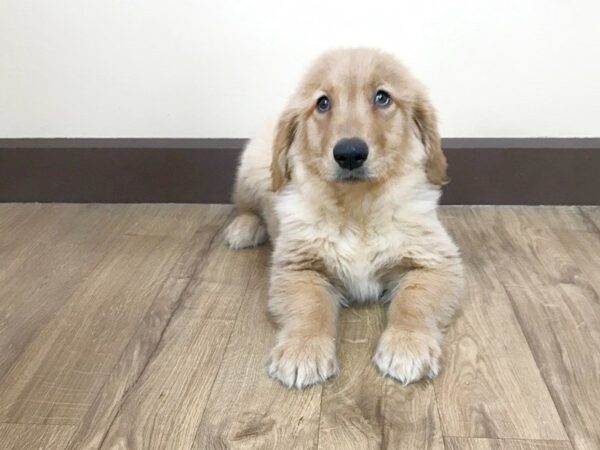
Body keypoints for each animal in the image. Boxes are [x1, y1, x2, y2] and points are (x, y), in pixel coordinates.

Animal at [225, 48, 464, 386]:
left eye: (382, 97)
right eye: (322, 103)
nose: (350, 153)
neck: (357, 207)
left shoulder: (436, 262)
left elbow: (414, 301)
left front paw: (407, 344)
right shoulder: (299, 266)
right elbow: (309, 305)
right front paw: (303, 349)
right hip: (253, 170)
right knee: (245, 204)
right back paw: (244, 228)